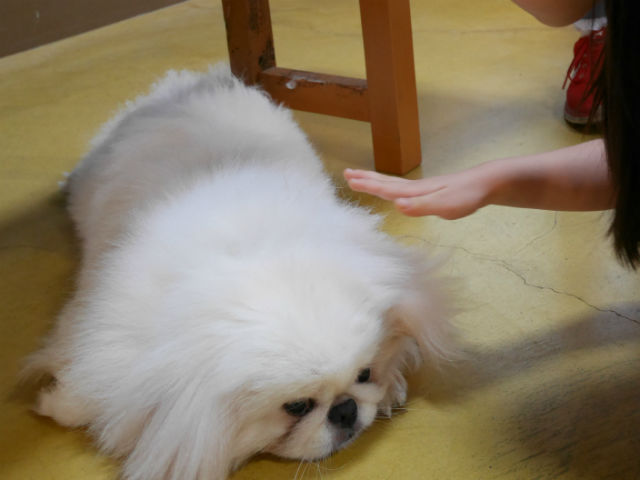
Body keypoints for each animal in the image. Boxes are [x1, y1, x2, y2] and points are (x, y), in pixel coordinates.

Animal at [26, 64, 456, 480]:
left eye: (365, 374)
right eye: (296, 407)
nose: (346, 410)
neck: (253, 257)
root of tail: (185, 88)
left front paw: (391, 384)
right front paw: (60, 403)